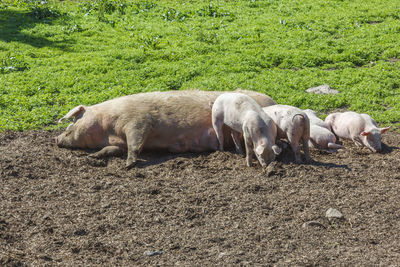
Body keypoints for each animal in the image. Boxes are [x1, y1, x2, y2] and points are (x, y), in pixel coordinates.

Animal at [55, 91, 276, 169]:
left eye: (71, 123)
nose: (56, 139)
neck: (108, 128)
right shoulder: (118, 142)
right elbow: (112, 149)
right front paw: (93, 157)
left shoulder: (138, 121)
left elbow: (135, 143)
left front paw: (128, 165)